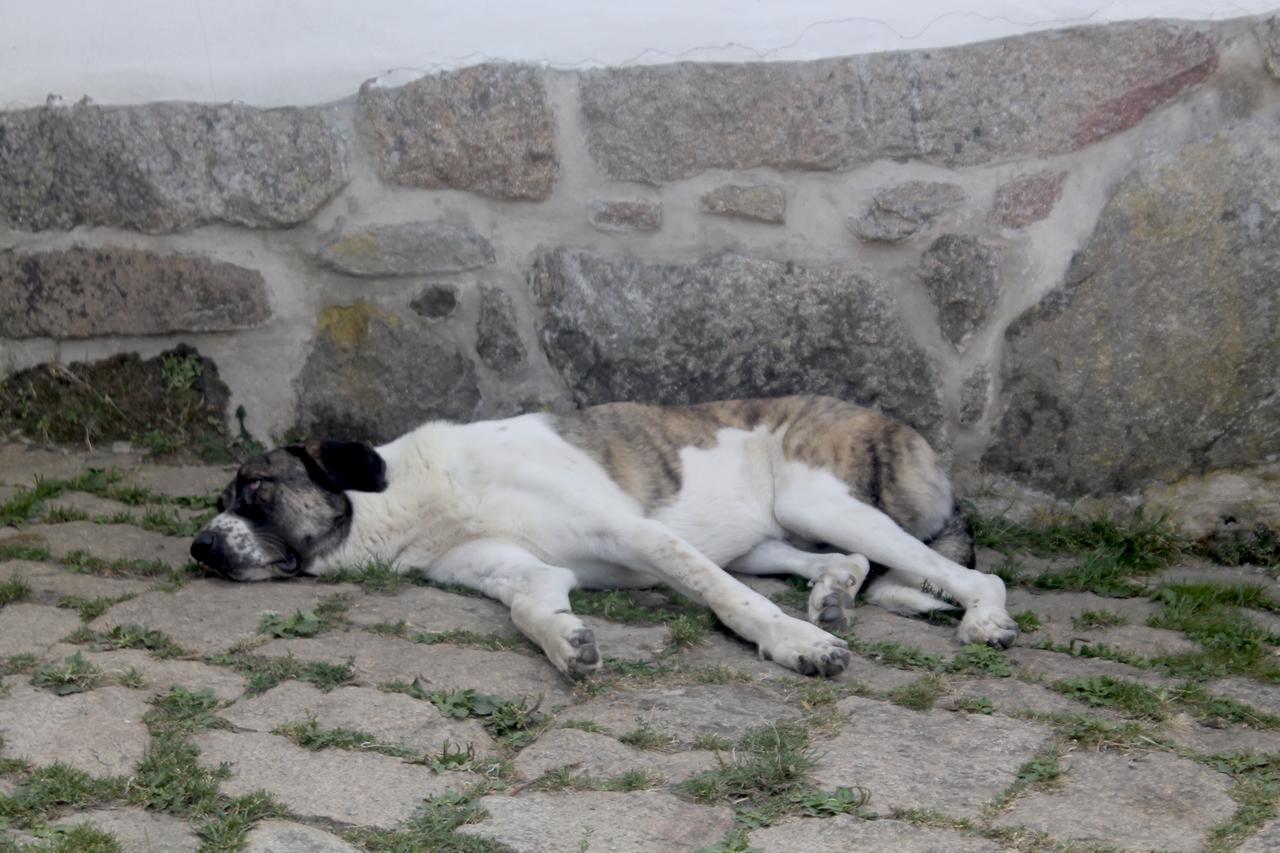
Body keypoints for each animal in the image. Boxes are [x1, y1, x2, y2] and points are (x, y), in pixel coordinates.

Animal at [189, 394, 1013, 681]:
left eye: (255, 488)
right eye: (218, 501)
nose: (199, 548)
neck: (415, 497)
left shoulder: (637, 532)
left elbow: (733, 603)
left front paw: (794, 645)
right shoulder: (517, 571)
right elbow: (532, 607)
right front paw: (568, 642)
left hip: (820, 499)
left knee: (970, 573)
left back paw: (984, 620)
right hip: (763, 538)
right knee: (849, 560)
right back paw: (835, 594)